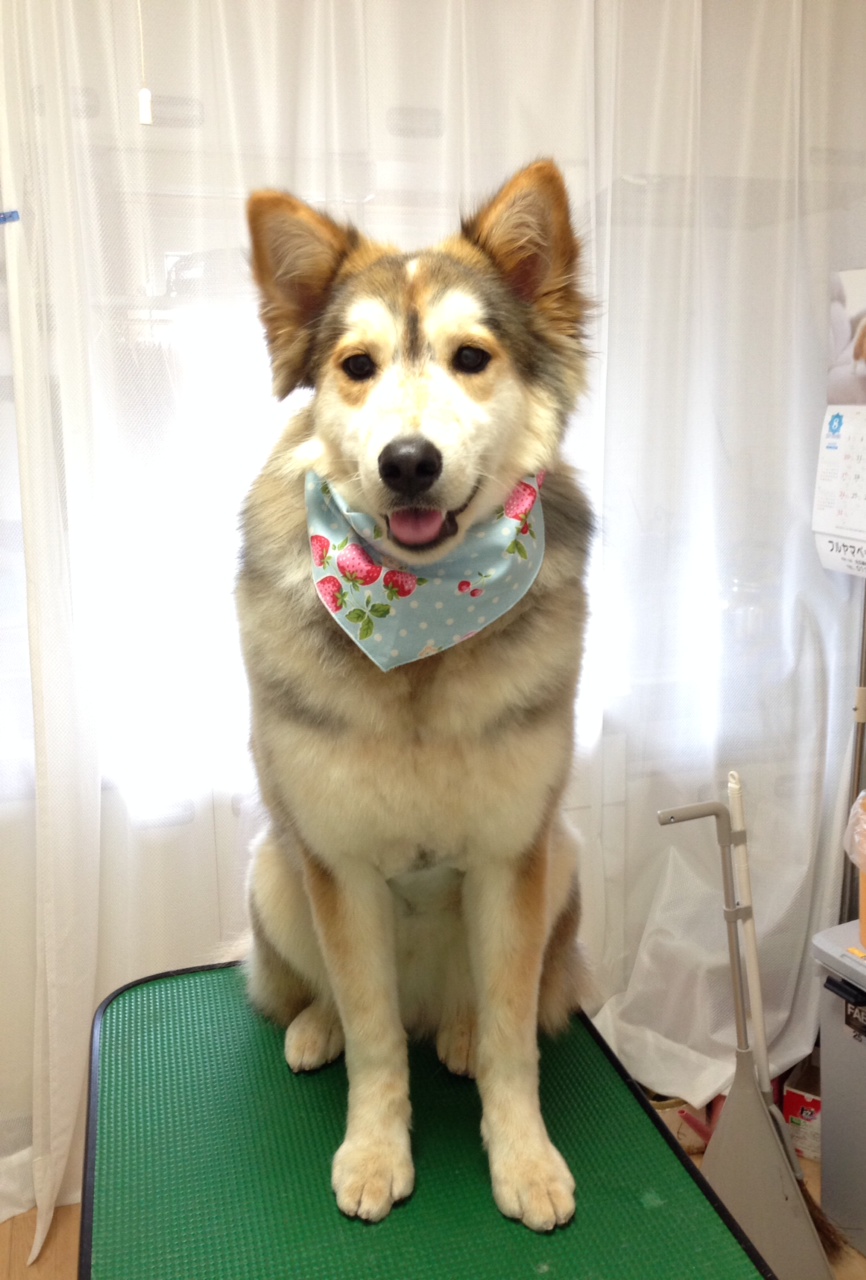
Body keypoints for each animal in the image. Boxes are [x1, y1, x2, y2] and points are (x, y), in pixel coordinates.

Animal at [237, 160, 593, 1232]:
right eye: (356, 366)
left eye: (471, 357)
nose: (408, 463)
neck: (419, 626)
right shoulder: (339, 865)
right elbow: (375, 1037)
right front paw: (373, 1150)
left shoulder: (513, 854)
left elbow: (517, 1038)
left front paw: (523, 1160)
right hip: (277, 871)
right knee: (349, 1006)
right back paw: (315, 1030)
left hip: (560, 860)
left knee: (476, 1011)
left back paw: (462, 1030)